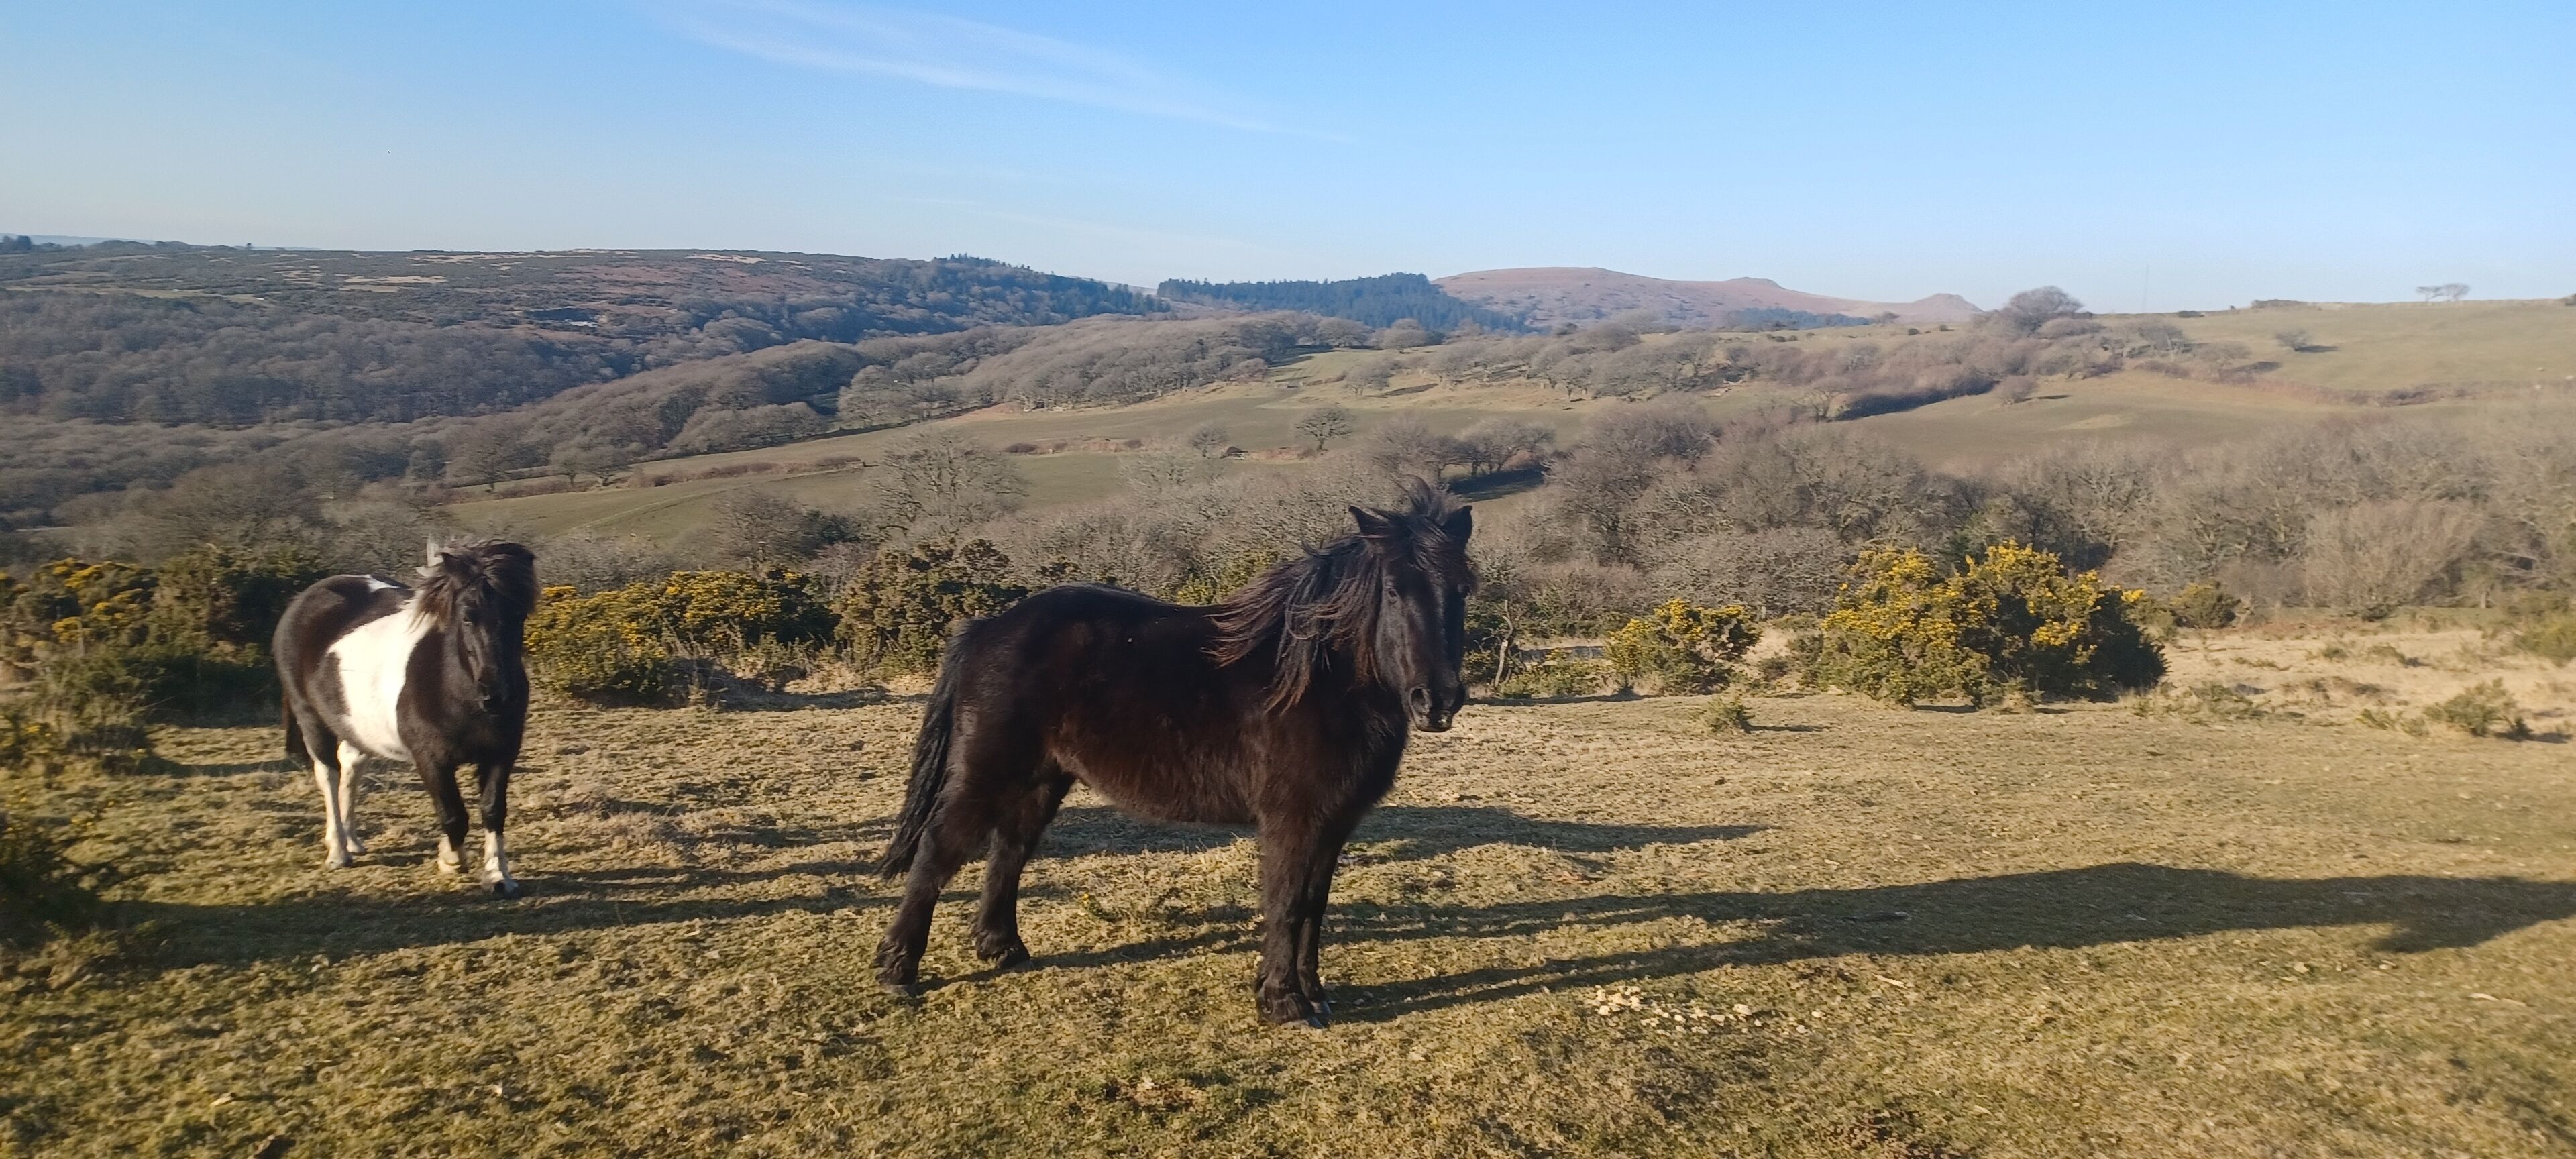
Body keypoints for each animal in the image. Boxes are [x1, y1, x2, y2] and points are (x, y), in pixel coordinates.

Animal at [273, 539, 539, 898]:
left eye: (518, 615)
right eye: (466, 618)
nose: (498, 695)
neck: (454, 687)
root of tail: (301, 602)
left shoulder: (501, 754)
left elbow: (493, 810)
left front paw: (498, 876)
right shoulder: (430, 760)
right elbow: (453, 814)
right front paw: (451, 860)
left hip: (358, 726)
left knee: (350, 768)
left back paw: (352, 841)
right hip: (312, 720)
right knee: (328, 775)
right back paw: (338, 851)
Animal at [874, 478, 1475, 1026]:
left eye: (1463, 590)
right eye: (1393, 590)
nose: (1437, 700)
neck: (1320, 681)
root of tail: (984, 629)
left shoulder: (1334, 823)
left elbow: (1314, 906)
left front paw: (1314, 995)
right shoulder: (1294, 820)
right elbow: (1286, 903)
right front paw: (1283, 1003)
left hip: (1041, 779)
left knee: (1009, 851)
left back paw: (1002, 948)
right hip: (987, 772)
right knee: (938, 852)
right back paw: (898, 969)